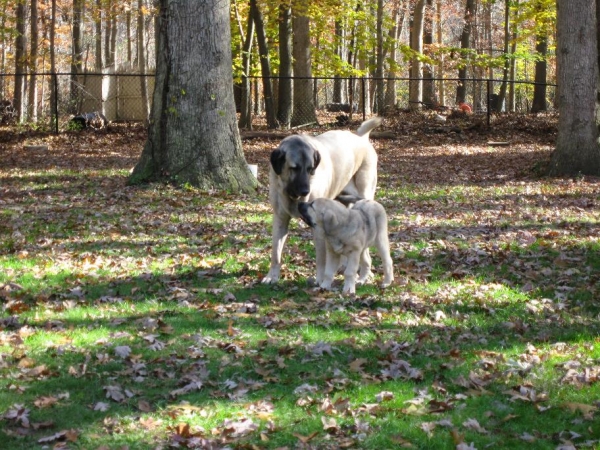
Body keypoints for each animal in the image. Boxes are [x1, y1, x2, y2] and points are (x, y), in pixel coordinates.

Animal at [264, 116, 384, 284]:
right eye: (294, 168)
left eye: (310, 168)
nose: (305, 191)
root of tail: (361, 138)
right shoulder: (280, 219)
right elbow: (276, 252)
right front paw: (272, 276)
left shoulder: (318, 228)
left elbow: (321, 258)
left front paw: (320, 279)